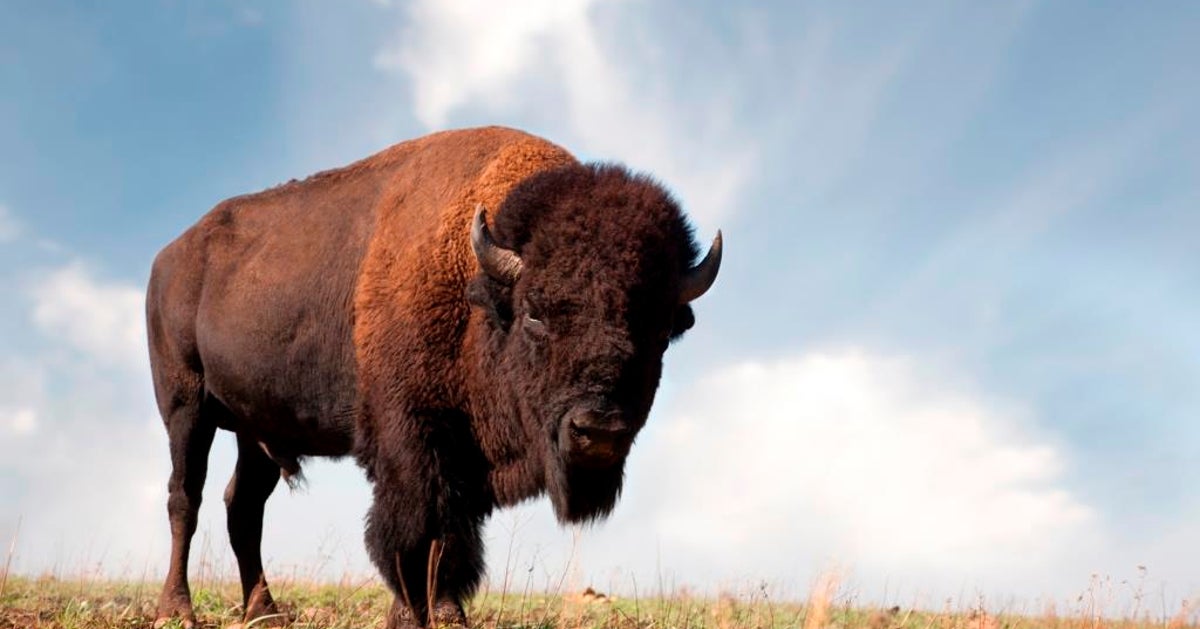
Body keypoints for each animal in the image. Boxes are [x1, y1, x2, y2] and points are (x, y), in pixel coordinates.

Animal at [146, 126, 721, 628]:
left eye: (659, 327)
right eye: (535, 313)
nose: (598, 431)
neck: (479, 293)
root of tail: (168, 257)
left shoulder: (466, 456)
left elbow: (452, 535)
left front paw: (446, 613)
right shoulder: (412, 437)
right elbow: (418, 528)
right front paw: (413, 614)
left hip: (258, 431)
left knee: (243, 506)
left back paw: (265, 612)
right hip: (186, 408)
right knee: (185, 498)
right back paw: (177, 610)